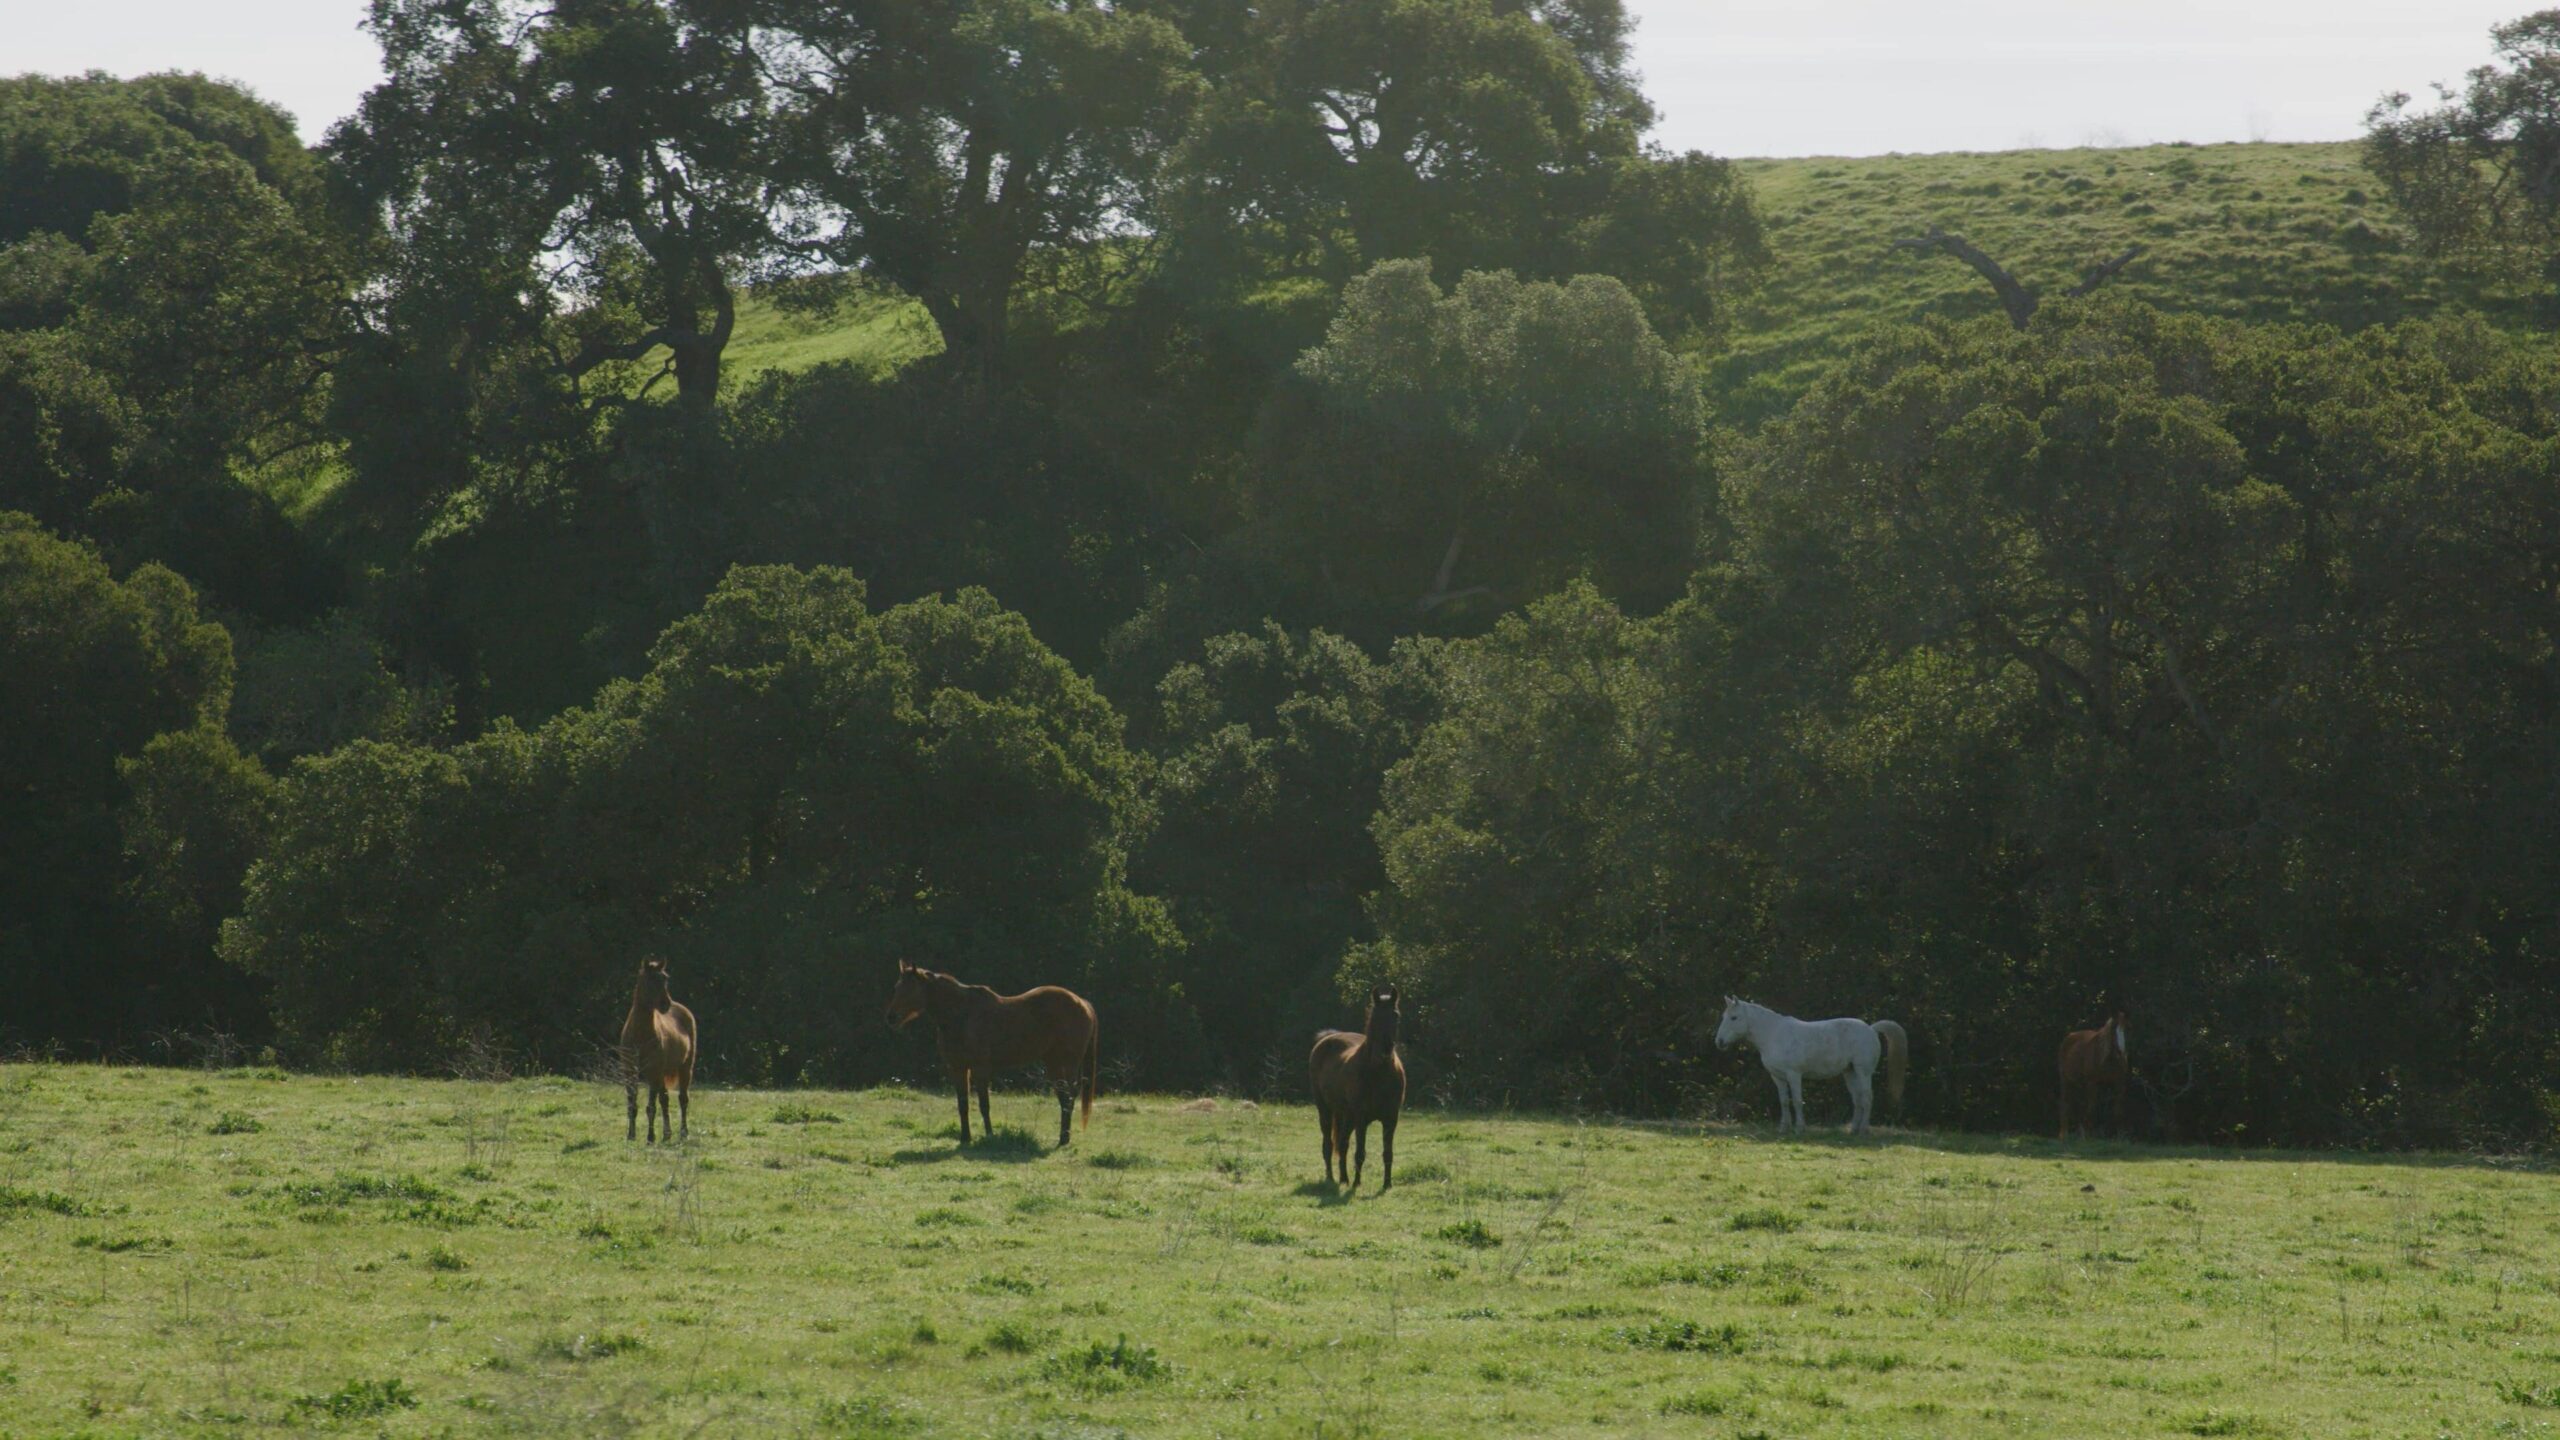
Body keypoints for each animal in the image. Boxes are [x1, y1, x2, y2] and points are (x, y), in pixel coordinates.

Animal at [619, 957, 696, 1143]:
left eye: (665, 979)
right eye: (650, 980)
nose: (665, 1004)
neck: (640, 1034)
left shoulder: (653, 1072)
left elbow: (650, 1107)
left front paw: (650, 1137)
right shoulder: (629, 1072)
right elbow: (632, 1105)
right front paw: (631, 1135)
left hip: (685, 1068)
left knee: (683, 1099)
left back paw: (683, 1133)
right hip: (662, 1073)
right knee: (665, 1099)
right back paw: (667, 1134)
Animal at [884, 961, 1098, 1148]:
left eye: (911, 989)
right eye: (897, 987)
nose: (891, 1017)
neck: (962, 1016)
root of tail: (1082, 1002)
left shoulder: (980, 1068)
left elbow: (984, 1104)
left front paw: (989, 1135)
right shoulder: (958, 1068)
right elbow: (963, 1104)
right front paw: (965, 1137)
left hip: (1068, 1062)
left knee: (1069, 1095)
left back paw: (1064, 1139)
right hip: (1053, 1063)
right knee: (1063, 1097)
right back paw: (1063, 1137)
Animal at [1310, 984, 1406, 1191]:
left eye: (1396, 1015)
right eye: (1375, 1016)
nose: (1385, 1051)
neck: (1379, 1073)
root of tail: (1327, 1038)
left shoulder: (1391, 1118)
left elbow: (1388, 1153)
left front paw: (1387, 1184)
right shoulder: (1362, 1118)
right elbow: (1360, 1152)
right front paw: (1357, 1183)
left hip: (1347, 1116)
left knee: (1343, 1143)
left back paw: (1343, 1178)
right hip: (1326, 1110)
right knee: (1329, 1145)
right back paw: (1331, 1178)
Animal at [1713, 997, 1907, 1135]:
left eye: (1734, 1017)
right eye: (1723, 1017)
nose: (1719, 1042)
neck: (1773, 1034)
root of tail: (1871, 1029)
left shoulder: (1793, 1075)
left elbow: (1798, 1101)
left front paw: (1800, 1128)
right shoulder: (1778, 1077)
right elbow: (1784, 1101)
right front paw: (1784, 1128)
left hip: (1863, 1072)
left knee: (1867, 1098)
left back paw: (1864, 1130)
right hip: (1850, 1073)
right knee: (1858, 1100)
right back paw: (1853, 1129)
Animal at [2057, 1011, 2129, 1140]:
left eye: (2126, 1029)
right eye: (2113, 1030)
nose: (2121, 1053)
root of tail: (2069, 1036)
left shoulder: (2119, 1083)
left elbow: (2118, 1110)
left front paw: (2120, 1137)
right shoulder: (2092, 1083)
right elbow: (2092, 1108)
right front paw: (2090, 1136)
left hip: (2080, 1084)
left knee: (2080, 1106)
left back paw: (2080, 1134)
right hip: (2066, 1080)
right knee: (2066, 1103)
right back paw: (2064, 1135)